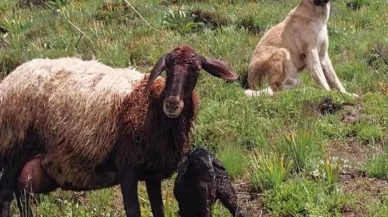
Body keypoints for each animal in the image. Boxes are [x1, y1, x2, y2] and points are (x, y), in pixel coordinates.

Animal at [0, 44, 239, 217]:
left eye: (196, 70)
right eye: (167, 68)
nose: (172, 104)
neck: (150, 104)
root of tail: (10, 78)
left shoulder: (152, 173)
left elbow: (158, 210)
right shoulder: (128, 167)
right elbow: (133, 211)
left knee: (23, 197)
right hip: (15, 147)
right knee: (6, 196)